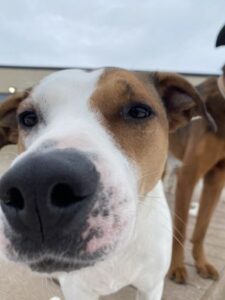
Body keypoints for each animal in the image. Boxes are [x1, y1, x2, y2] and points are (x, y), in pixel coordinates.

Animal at [169, 65, 225, 284]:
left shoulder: (216, 180)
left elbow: (202, 228)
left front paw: (201, 263)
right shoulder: (187, 176)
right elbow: (181, 228)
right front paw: (176, 267)